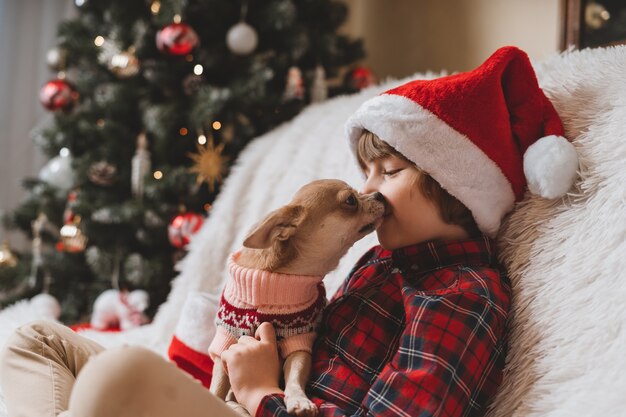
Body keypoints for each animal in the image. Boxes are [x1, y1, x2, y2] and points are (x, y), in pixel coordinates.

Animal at [210, 179, 386, 416]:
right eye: (350, 200)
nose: (379, 195)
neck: (275, 279)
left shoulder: (299, 340)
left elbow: (294, 375)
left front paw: (298, 400)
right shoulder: (226, 342)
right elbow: (217, 388)